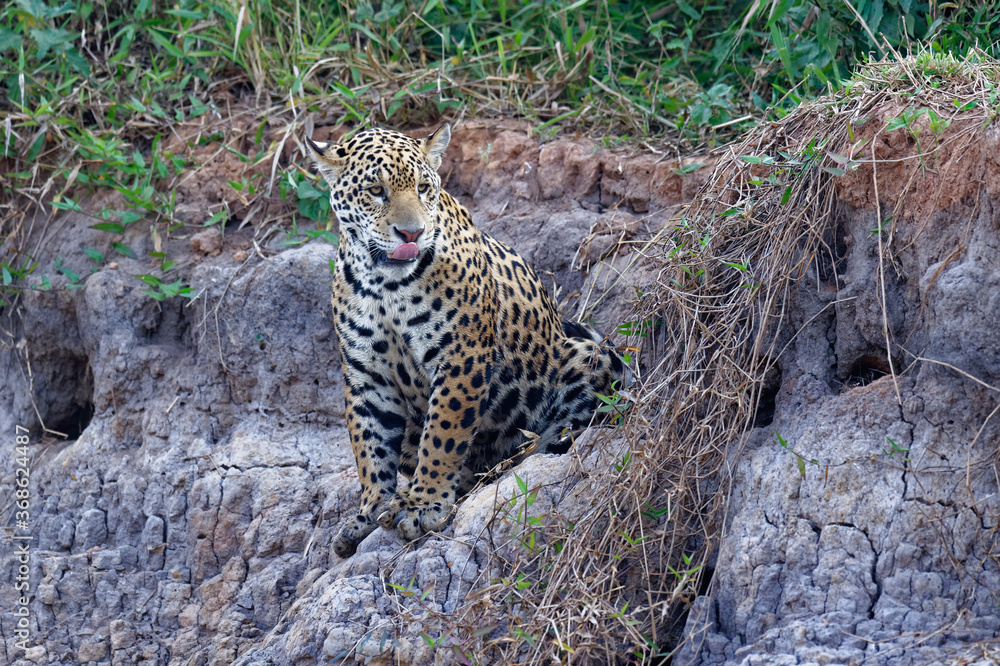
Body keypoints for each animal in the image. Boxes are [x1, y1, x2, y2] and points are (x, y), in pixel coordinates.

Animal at [307, 125, 628, 557]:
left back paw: (513, 458)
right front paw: (368, 513)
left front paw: (423, 505)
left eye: (423, 187)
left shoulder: (462, 356)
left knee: (567, 428)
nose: (411, 232)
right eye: (376, 190)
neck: (385, 282)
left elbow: (443, 434)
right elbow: (369, 448)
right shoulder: (367, 374)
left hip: (588, 356)